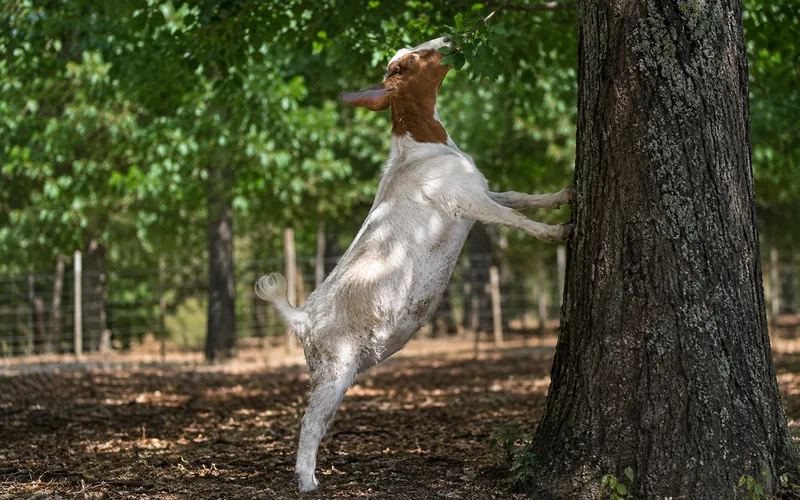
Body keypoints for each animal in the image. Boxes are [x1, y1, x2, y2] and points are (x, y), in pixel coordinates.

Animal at [255, 36, 572, 493]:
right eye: (407, 62)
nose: (447, 39)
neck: (422, 148)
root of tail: (301, 318)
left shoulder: (482, 190)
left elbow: (518, 196)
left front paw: (564, 193)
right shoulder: (466, 202)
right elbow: (514, 218)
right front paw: (559, 231)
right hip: (334, 370)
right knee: (309, 422)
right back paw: (307, 481)